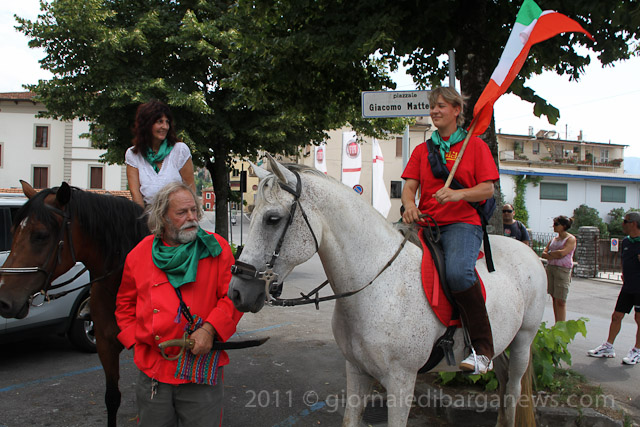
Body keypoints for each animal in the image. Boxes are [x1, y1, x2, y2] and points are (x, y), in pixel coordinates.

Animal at [228, 156, 547, 427]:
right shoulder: (357, 371)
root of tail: (530, 252)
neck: (378, 286)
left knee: (512, 394)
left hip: (523, 341)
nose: (237, 292)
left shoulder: (400, 381)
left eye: (272, 218)